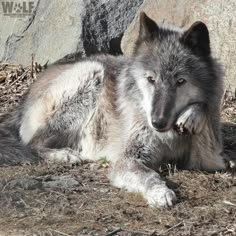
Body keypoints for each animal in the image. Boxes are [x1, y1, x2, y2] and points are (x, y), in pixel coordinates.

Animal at [0, 12, 226, 207]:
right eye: (150, 79)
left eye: (180, 81)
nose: (157, 122)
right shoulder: (127, 159)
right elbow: (149, 175)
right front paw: (160, 193)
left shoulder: (209, 159)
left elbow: (204, 108)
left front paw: (192, 116)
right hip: (91, 73)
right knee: (32, 143)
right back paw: (64, 155)